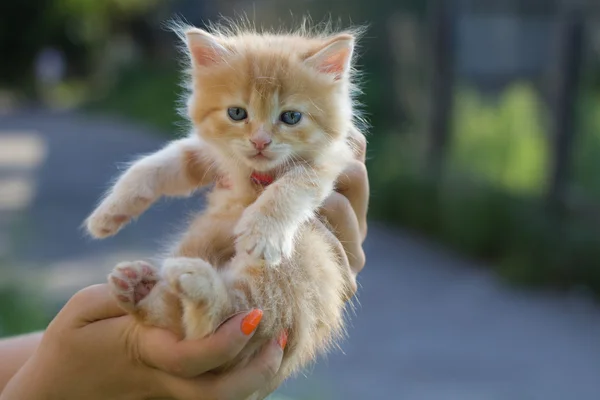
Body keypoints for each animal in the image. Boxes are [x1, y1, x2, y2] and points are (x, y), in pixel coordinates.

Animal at [84, 19, 366, 396]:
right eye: (237, 113)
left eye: (291, 117)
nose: (260, 141)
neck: (252, 176)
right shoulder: (211, 155)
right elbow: (162, 162)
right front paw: (111, 211)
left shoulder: (329, 162)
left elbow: (290, 187)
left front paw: (262, 231)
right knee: (178, 321)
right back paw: (138, 286)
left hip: (295, 269)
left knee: (227, 315)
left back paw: (192, 282)